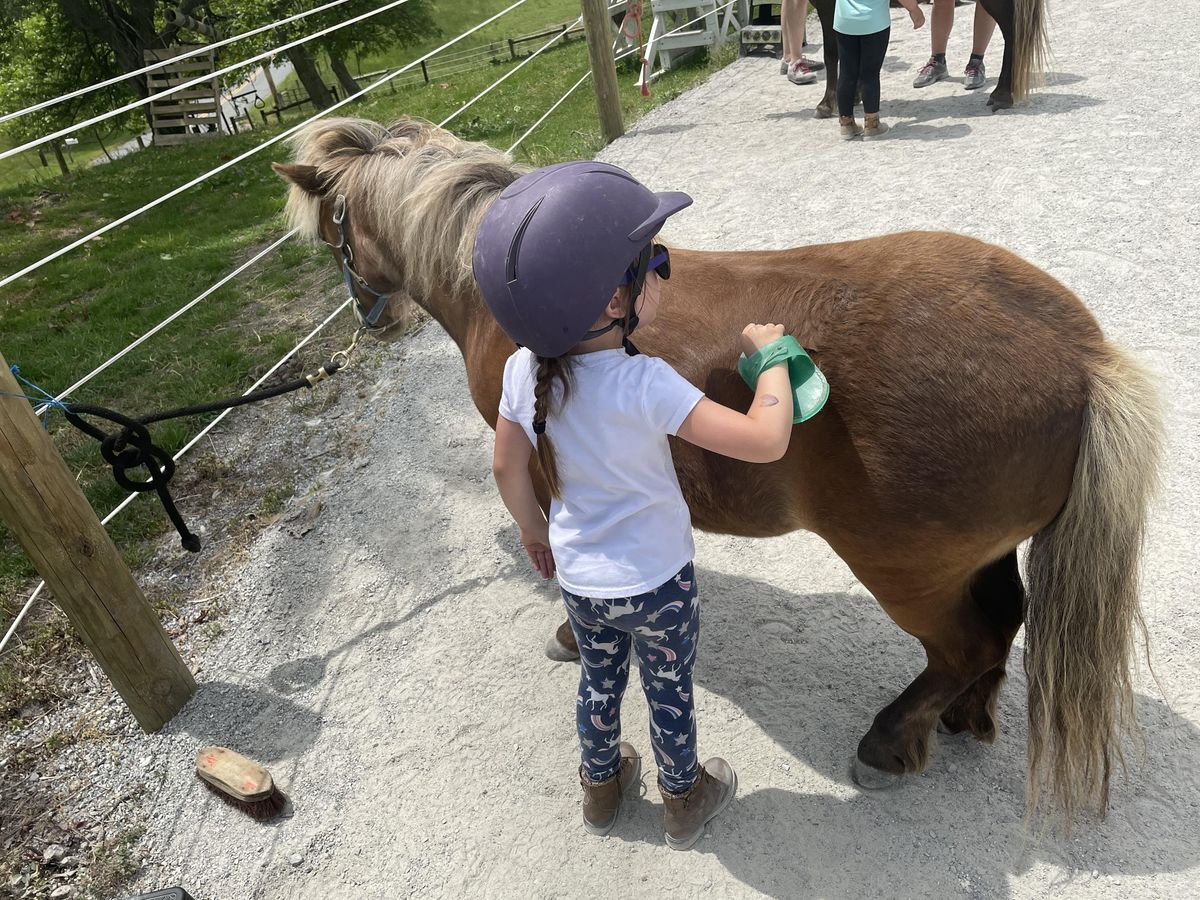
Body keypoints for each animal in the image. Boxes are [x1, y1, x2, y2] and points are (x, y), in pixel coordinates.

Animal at [274, 118, 1161, 830]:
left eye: (333, 236)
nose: (371, 321)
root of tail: (1084, 361)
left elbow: (562, 565)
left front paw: (567, 631)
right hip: (981, 556)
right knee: (1001, 624)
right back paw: (965, 717)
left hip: (908, 572)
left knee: (965, 642)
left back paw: (892, 739)